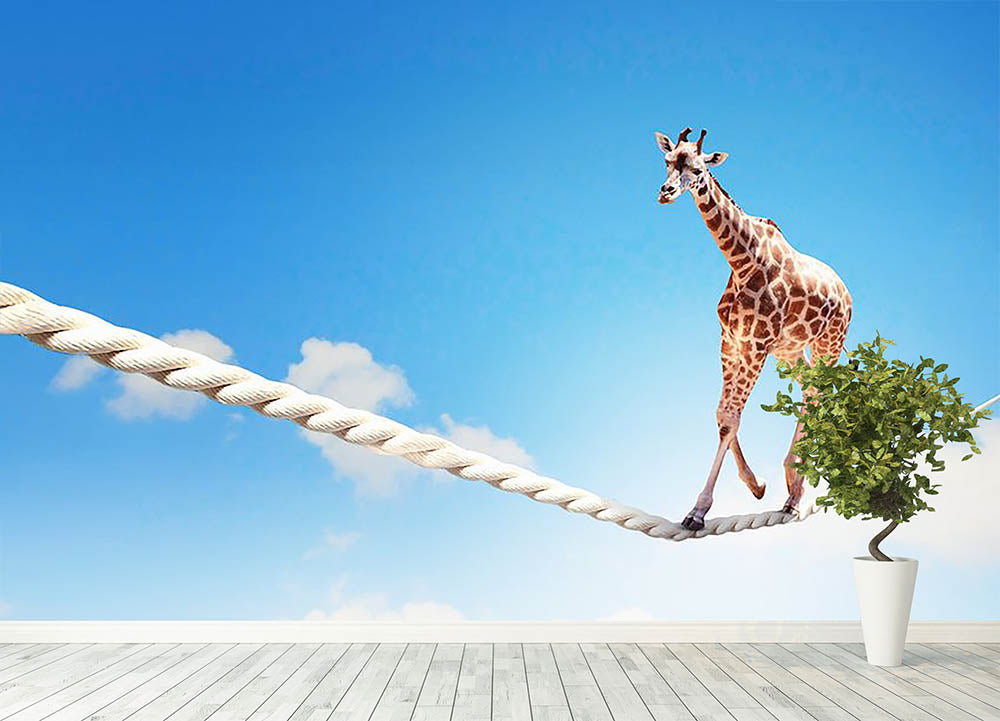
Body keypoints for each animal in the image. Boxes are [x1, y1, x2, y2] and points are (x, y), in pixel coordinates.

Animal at [654, 127, 852, 531]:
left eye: (697, 168)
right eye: (667, 161)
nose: (665, 192)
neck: (742, 260)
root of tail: (848, 294)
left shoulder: (756, 344)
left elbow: (730, 419)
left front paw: (698, 511)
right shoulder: (732, 340)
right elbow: (722, 415)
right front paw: (757, 483)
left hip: (828, 343)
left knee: (820, 394)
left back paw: (796, 490)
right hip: (790, 350)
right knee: (809, 390)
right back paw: (792, 486)